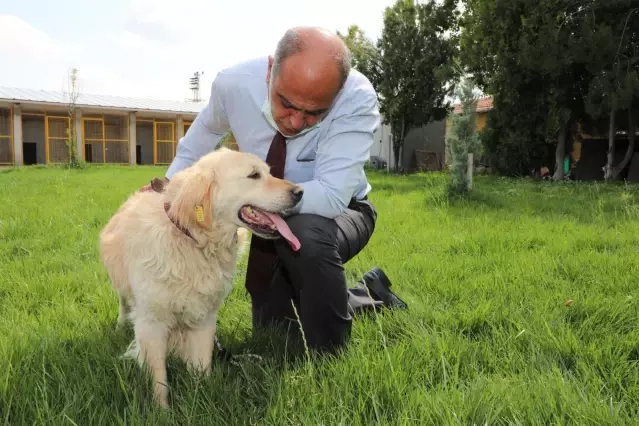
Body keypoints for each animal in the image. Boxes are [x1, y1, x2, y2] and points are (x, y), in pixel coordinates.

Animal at [99, 147, 304, 406]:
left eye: (269, 172)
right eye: (254, 175)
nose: (300, 192)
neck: (193, 241)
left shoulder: (204, 318)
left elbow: (202, 367)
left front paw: (202, 396)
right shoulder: (151, 322)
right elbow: (159, 377)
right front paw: (162, 409)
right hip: (125, 291)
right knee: (124, 305)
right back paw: (120, 325)